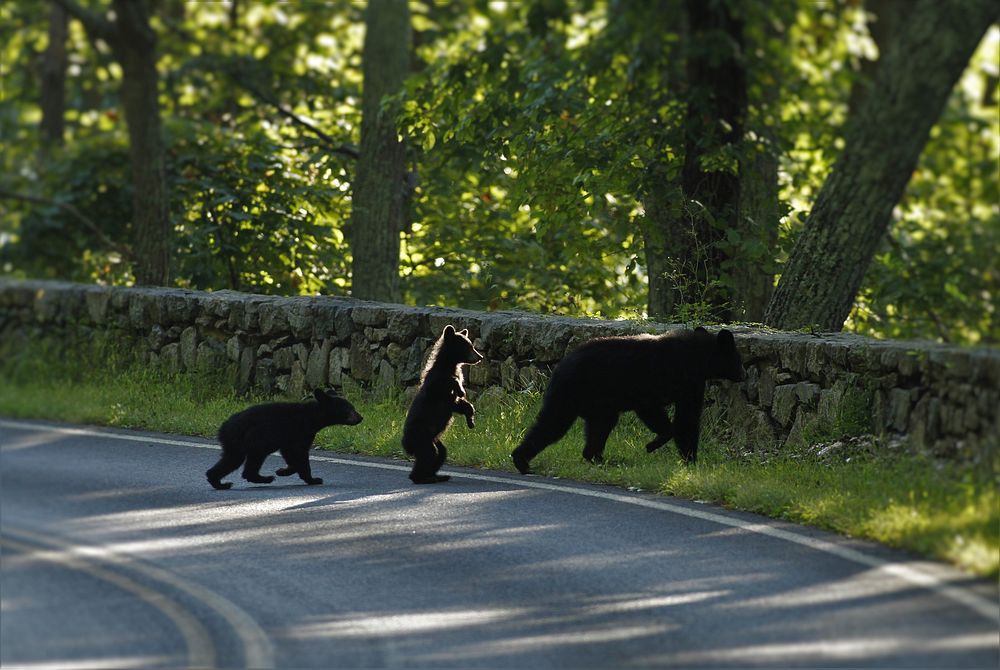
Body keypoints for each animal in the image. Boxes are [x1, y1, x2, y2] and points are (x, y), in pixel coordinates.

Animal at [205, 388, 362, 494]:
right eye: (349, 408)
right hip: (249, 440)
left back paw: (220, 482)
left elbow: (289, 453)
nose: (361, 417)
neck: (312, 417)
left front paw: (283, 470)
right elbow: (299, 453)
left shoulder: (291, 438)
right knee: (241, 460)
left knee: (232, 460)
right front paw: (313, 479)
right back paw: (262, 478)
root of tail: (222, 428)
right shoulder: (301, 431)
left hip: (237, 443)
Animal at [404, 324, 486, 484]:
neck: (450, 365)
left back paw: (437, 475)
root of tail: (406, 444)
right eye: (468, 346)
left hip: (435, 439)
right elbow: (447, 384)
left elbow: (459, 404)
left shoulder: (449, 399)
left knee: (441, 454)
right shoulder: (436, 384)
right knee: (429, 454)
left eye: (472, 345)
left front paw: (471, 420)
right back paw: (423, 477)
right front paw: (460, 389)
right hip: (421, 436)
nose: (480, 357)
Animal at [516, 328, 744, 476]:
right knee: (553, 424)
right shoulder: (683, 381)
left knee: (600, 426)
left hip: (599, 404)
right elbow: (683, 418)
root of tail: (559, 366)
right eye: (739, 359)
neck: (699, 357)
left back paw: (596, 457)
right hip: (571, 392)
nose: (744, 375)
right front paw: (682, 456)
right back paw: (521, 461)